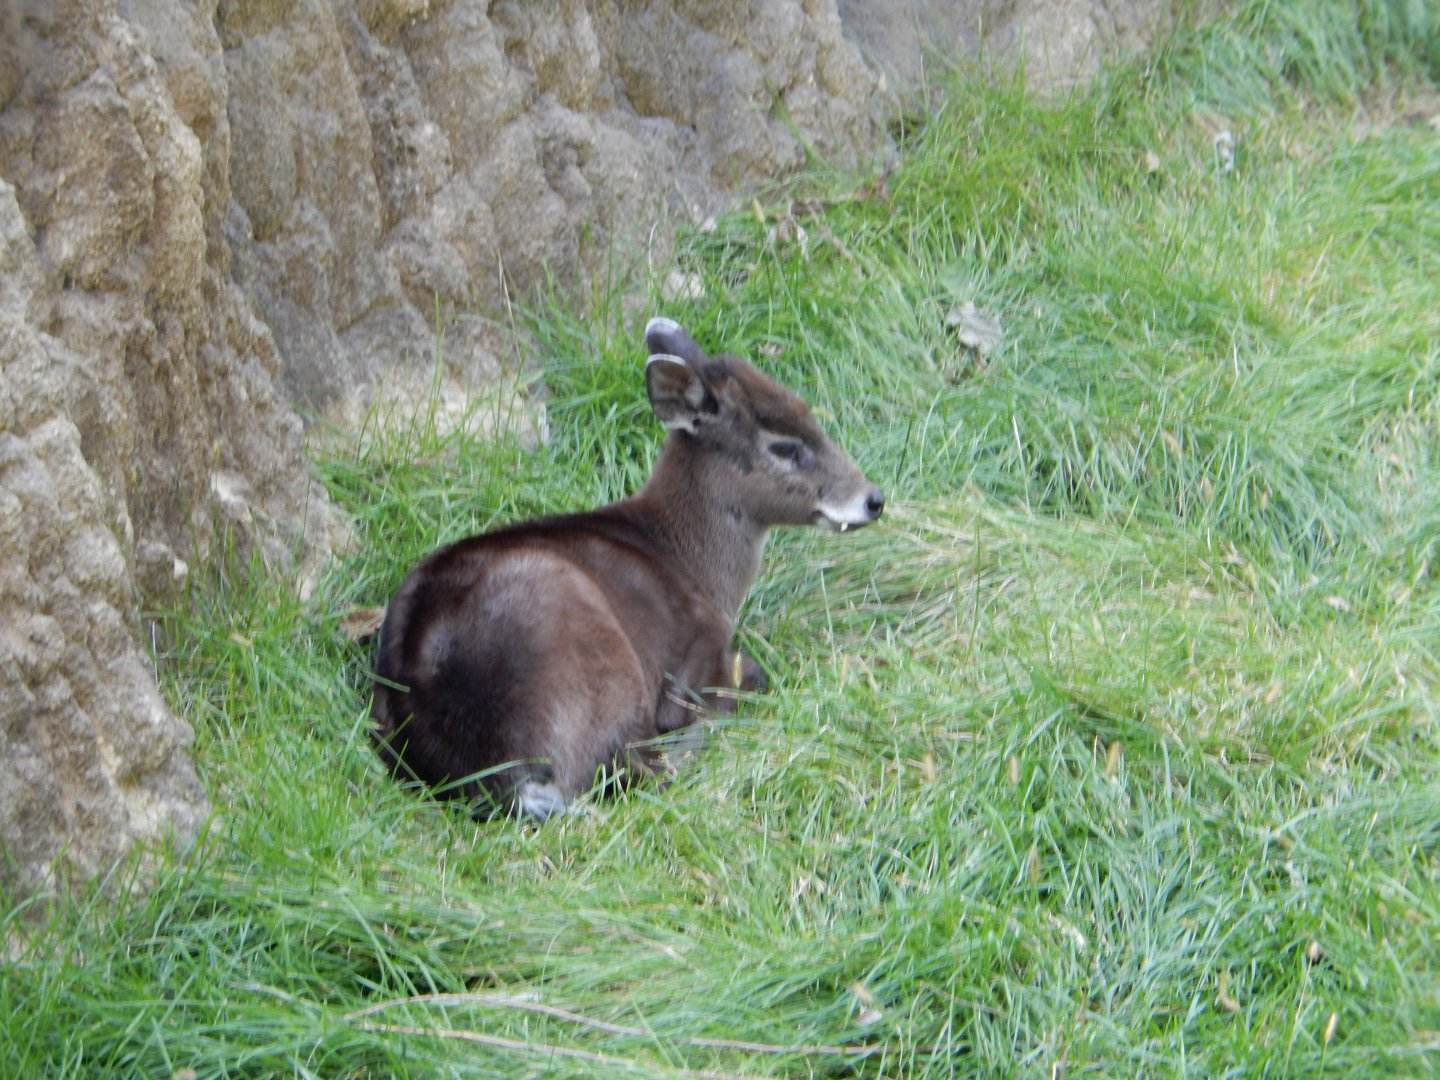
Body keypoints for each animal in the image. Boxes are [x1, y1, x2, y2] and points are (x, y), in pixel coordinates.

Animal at [370, 317, 884, 819]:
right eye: (784, 447)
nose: (873, 499)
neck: (692, 564)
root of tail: (506, 778)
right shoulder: (693, 661)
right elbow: (738, 683)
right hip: (598, 657)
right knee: (636, 765)